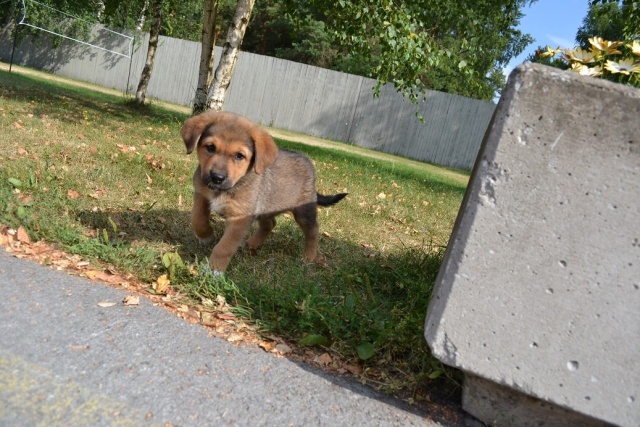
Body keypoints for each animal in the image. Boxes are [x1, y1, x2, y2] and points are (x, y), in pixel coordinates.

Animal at [181, 111, 347, 274]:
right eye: (210, 147)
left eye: (239, 156)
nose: (217, 178)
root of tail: (308, 162)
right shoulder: (201, 195)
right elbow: (197, 218)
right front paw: (206, 236)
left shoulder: (239, 218)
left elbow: (224, 247)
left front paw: (214, 270)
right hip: (265, 208)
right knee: (270, 224)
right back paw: (251, 244)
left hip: (304, 212)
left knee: (313, 230)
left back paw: (309, 257)